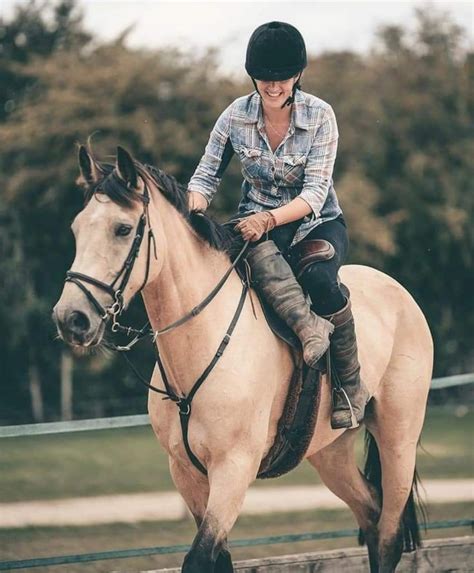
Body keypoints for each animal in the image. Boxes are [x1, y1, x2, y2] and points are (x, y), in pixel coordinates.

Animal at [52, 146, 434, 572]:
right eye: (76, 229)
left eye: (122, 229)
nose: (71, 318)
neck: (204, 341)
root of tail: (399, 293)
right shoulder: (185, 471)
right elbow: (219, 559)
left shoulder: (233, 470)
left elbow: (200, 558)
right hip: (331, 453)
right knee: (370, 511)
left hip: (397, 439)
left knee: (387, 534)